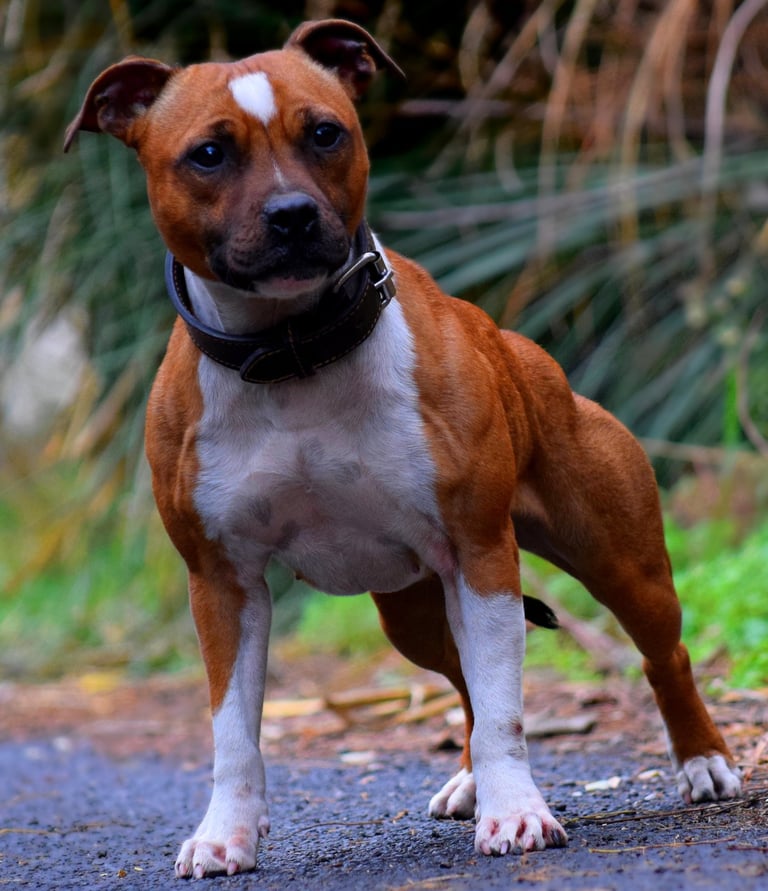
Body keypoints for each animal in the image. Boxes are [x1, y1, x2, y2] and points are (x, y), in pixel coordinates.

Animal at [65, 18, 741, 878]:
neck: (294, 354)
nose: (292, 213)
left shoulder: (479, 550)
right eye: (208, 154)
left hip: (617, 560)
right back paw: (469, 779)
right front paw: (225, 834)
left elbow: (508, 709)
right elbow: (231, 729)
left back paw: (702, 761)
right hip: (414, 611)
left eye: (325, 133)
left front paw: (518, 813)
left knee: (661, 656)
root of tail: (523, 352)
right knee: (465, 680)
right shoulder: (222, 583)